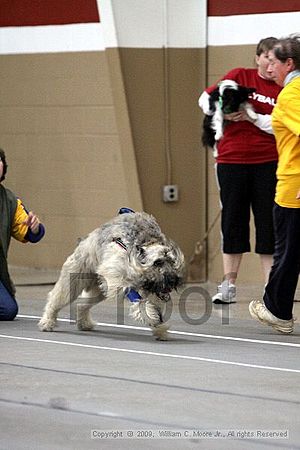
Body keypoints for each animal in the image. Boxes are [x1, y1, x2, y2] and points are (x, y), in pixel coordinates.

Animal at [38, 211, 185, 342]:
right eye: (157, 262)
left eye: (172, 262)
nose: (173, 281)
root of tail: (84, 241)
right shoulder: (117, 278)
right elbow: (139, 302)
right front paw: (150, 317)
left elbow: (153, 307)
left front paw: (160, 328)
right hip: (73, 282)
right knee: (56, 299)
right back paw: (47, 321)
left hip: (99, 291)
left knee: (82, 305)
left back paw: (84, 323)